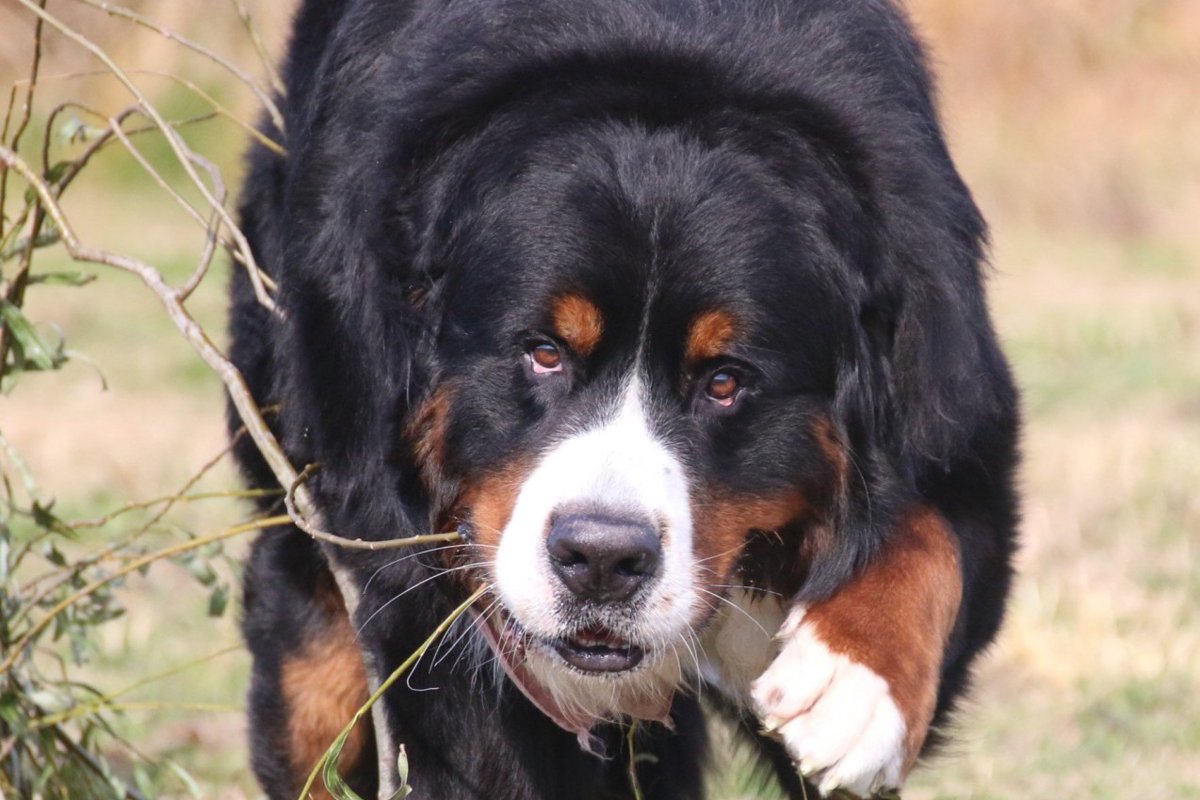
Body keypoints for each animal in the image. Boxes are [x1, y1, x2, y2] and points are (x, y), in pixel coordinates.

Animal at [229, 0, 1017, 796]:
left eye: (724, 382)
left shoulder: (946, 379)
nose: (601, 557)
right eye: (544, 352)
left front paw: (851, 687)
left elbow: (933, 531)